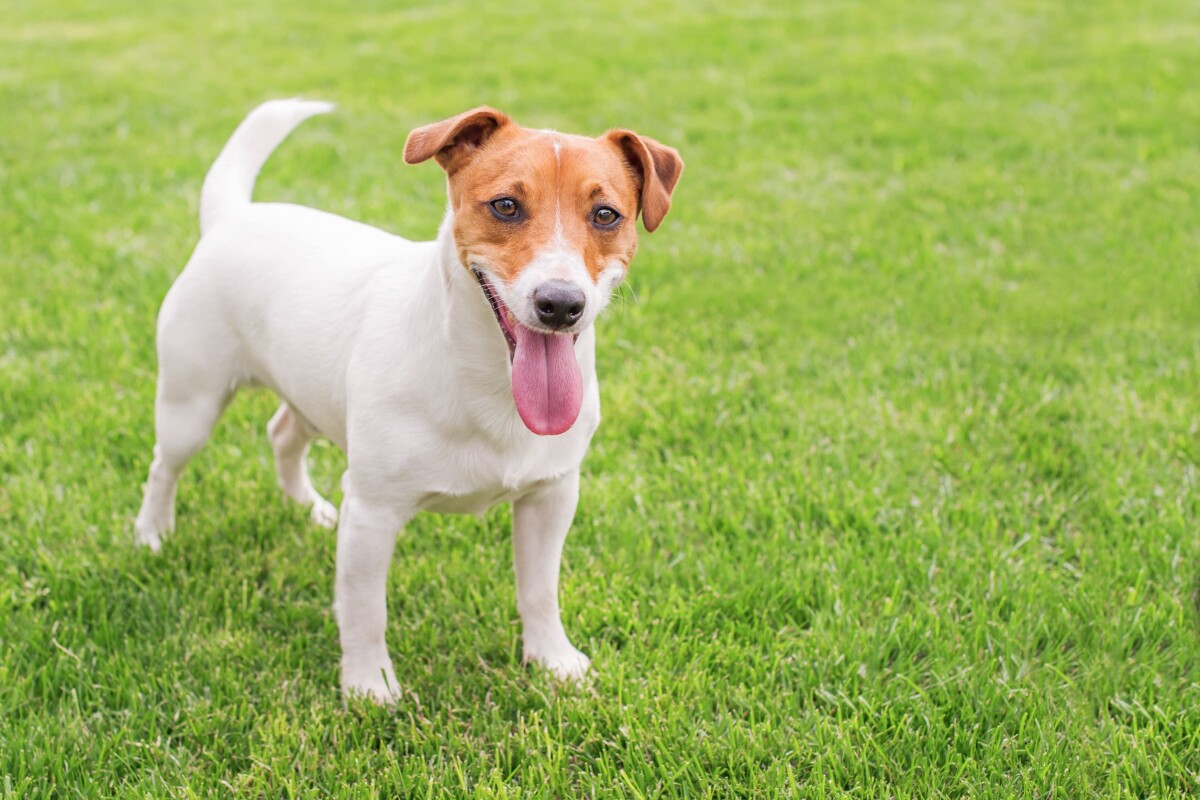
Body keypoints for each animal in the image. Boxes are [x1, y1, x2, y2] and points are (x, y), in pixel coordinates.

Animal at [132, 98, 686, 700]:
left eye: (606, 215)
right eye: (506, 206)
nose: (560, 304)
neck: (486, 381)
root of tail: (233, 215)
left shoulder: (552, 496)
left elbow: (540, 590)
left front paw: (552, 660)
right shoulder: (372, 513)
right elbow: (364, 610)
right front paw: (369, 687)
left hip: (312, 392)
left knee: (283, 434)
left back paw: (307, 507)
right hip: (191, 402)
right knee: (164, 466)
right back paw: (152, 534)